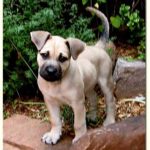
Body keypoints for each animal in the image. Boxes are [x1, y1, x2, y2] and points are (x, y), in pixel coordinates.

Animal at [29, 6, 115, 144]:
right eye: (44, 55)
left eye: (63, 58)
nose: (51, 71)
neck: (57, 83)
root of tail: (98, 47)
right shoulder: (50, 101)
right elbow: (55, 120)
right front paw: (54, 135)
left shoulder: (77, 103)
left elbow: (78, 124)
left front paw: (80, 139)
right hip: (88, 85)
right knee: (94, 97)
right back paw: (92, 116)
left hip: (105, 82)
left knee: (111, 101)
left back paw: (110, 120)